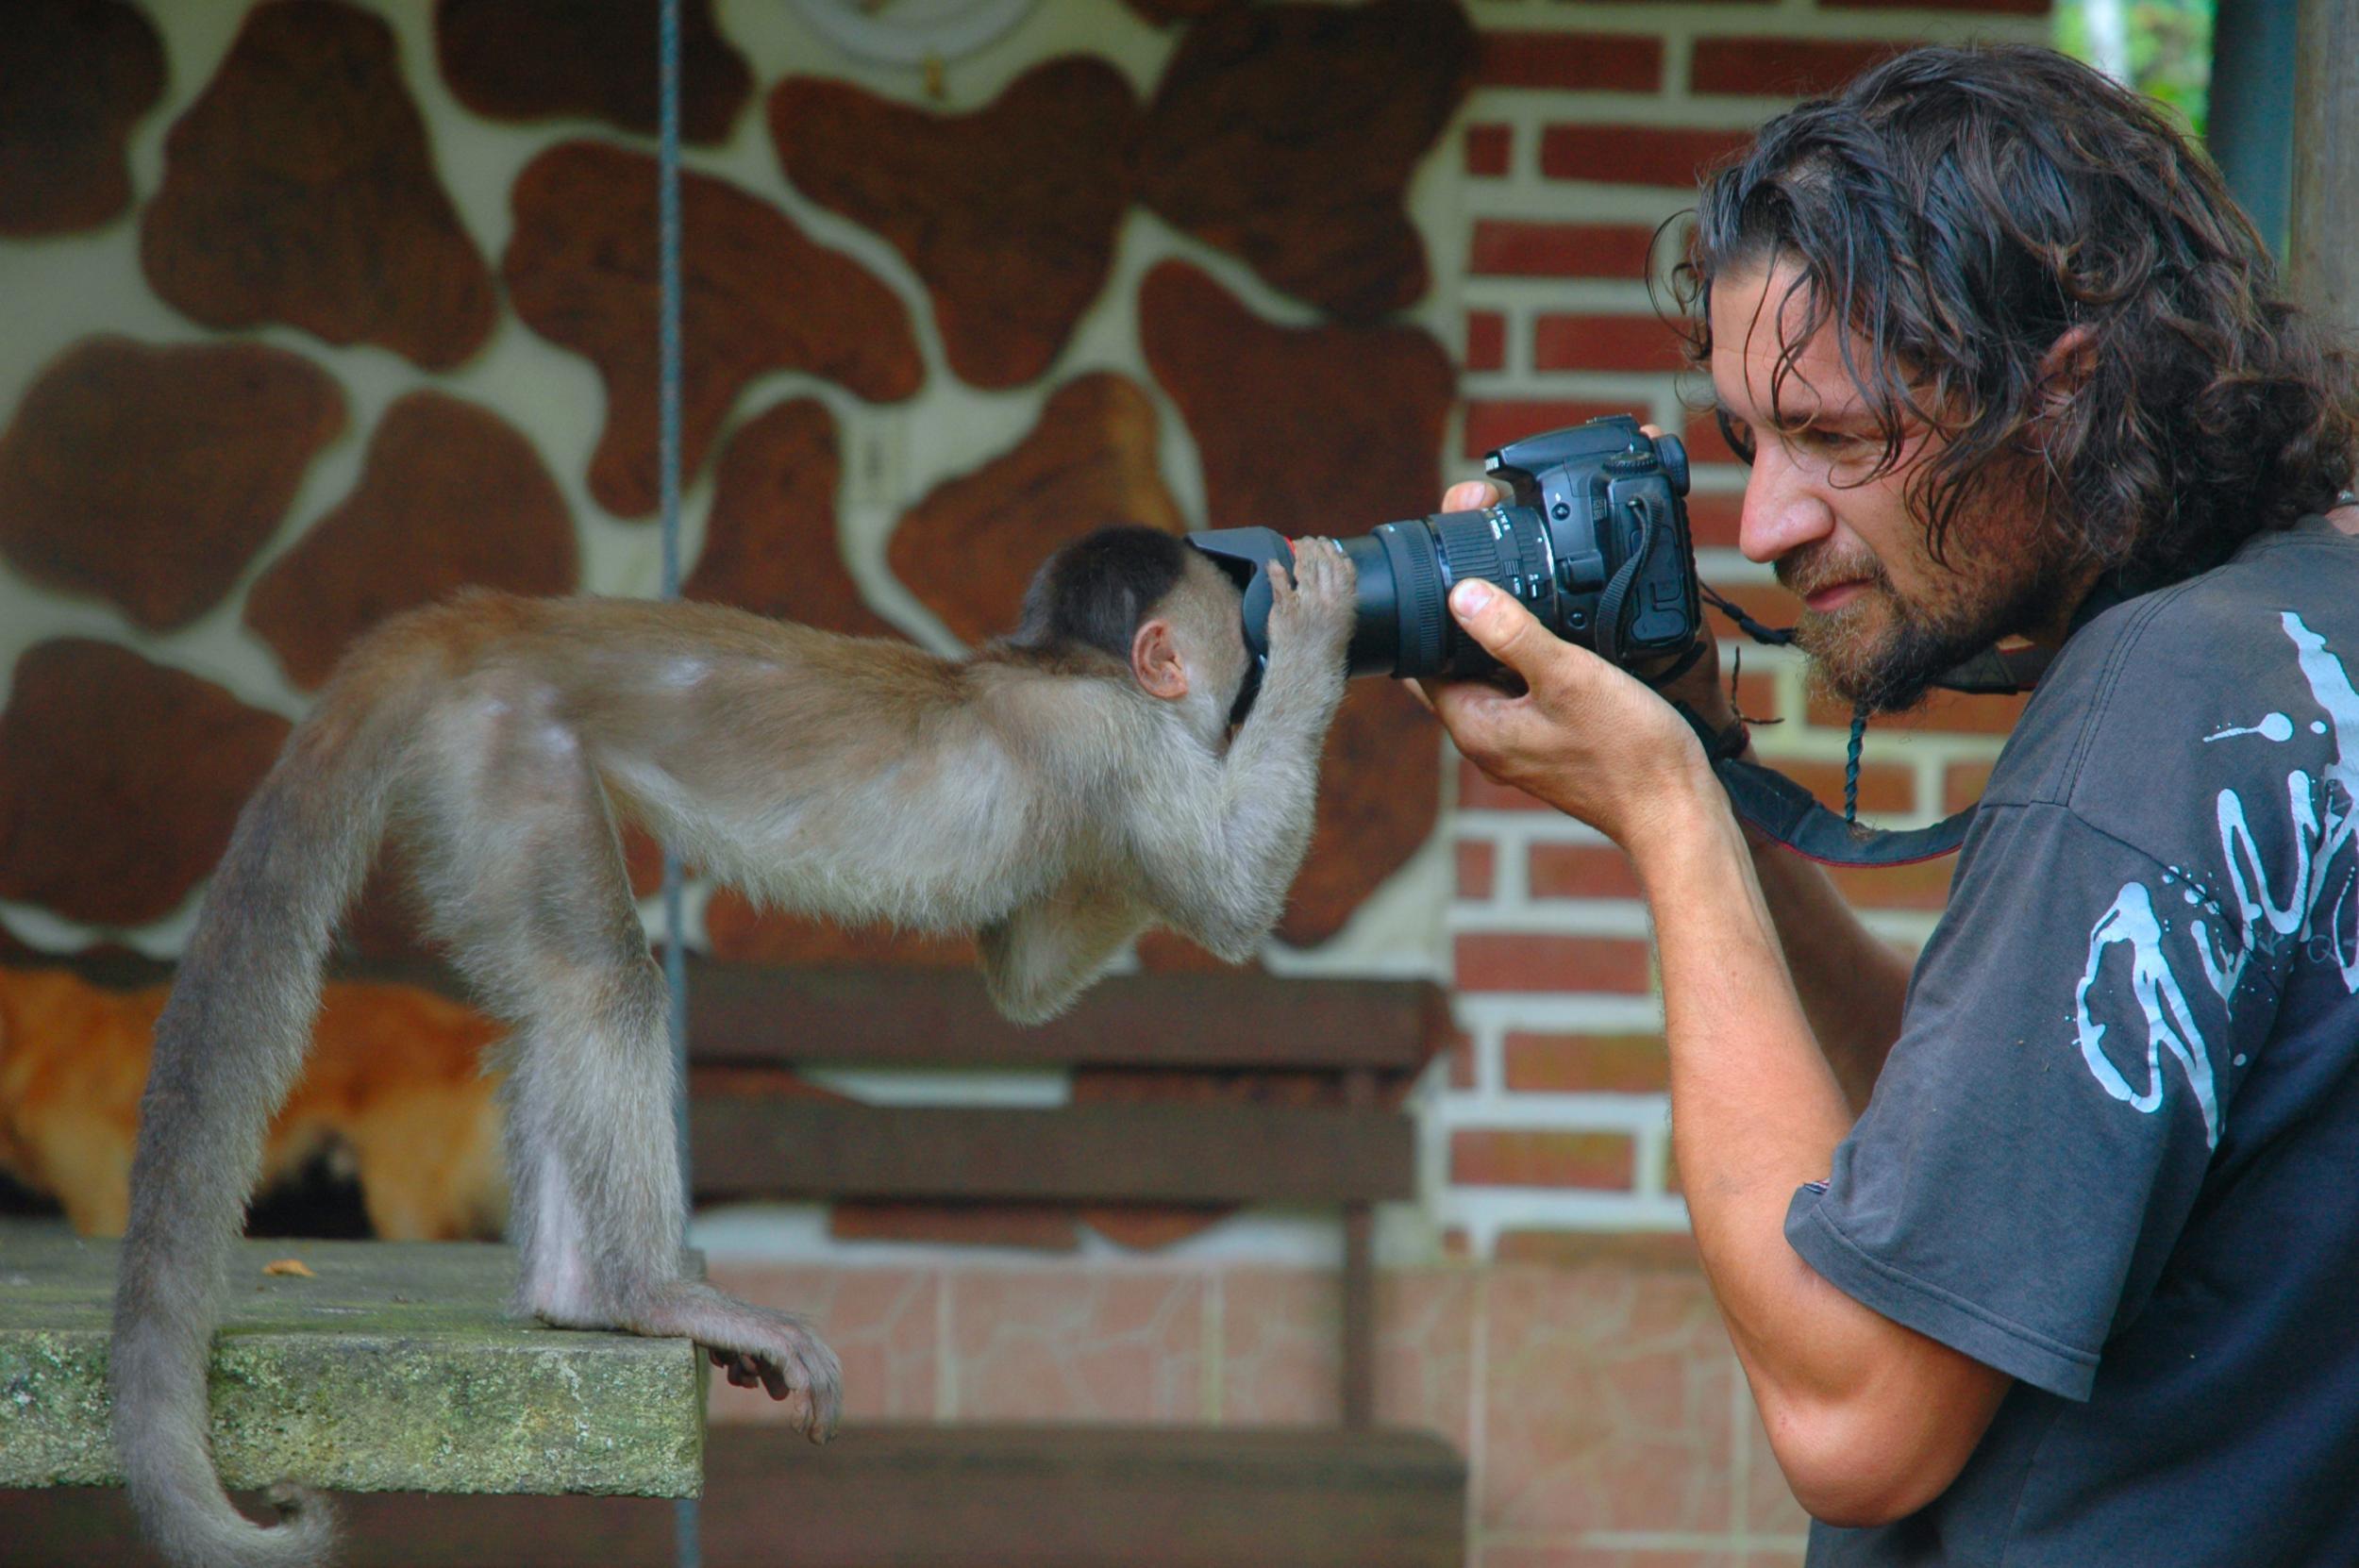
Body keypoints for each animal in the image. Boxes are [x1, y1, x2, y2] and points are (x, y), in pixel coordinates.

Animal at [110, 527, 1368, 1565]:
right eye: (1236, 637)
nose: (1253, 659)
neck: (1063, 671)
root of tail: (495, 618)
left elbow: (1021, 972)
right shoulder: (1122, 744)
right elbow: (1225, 902)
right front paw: (1323, 629)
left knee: (553, 996)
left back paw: (575, 1296)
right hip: (511, 739)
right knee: (604, 984)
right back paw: (645, 1293)